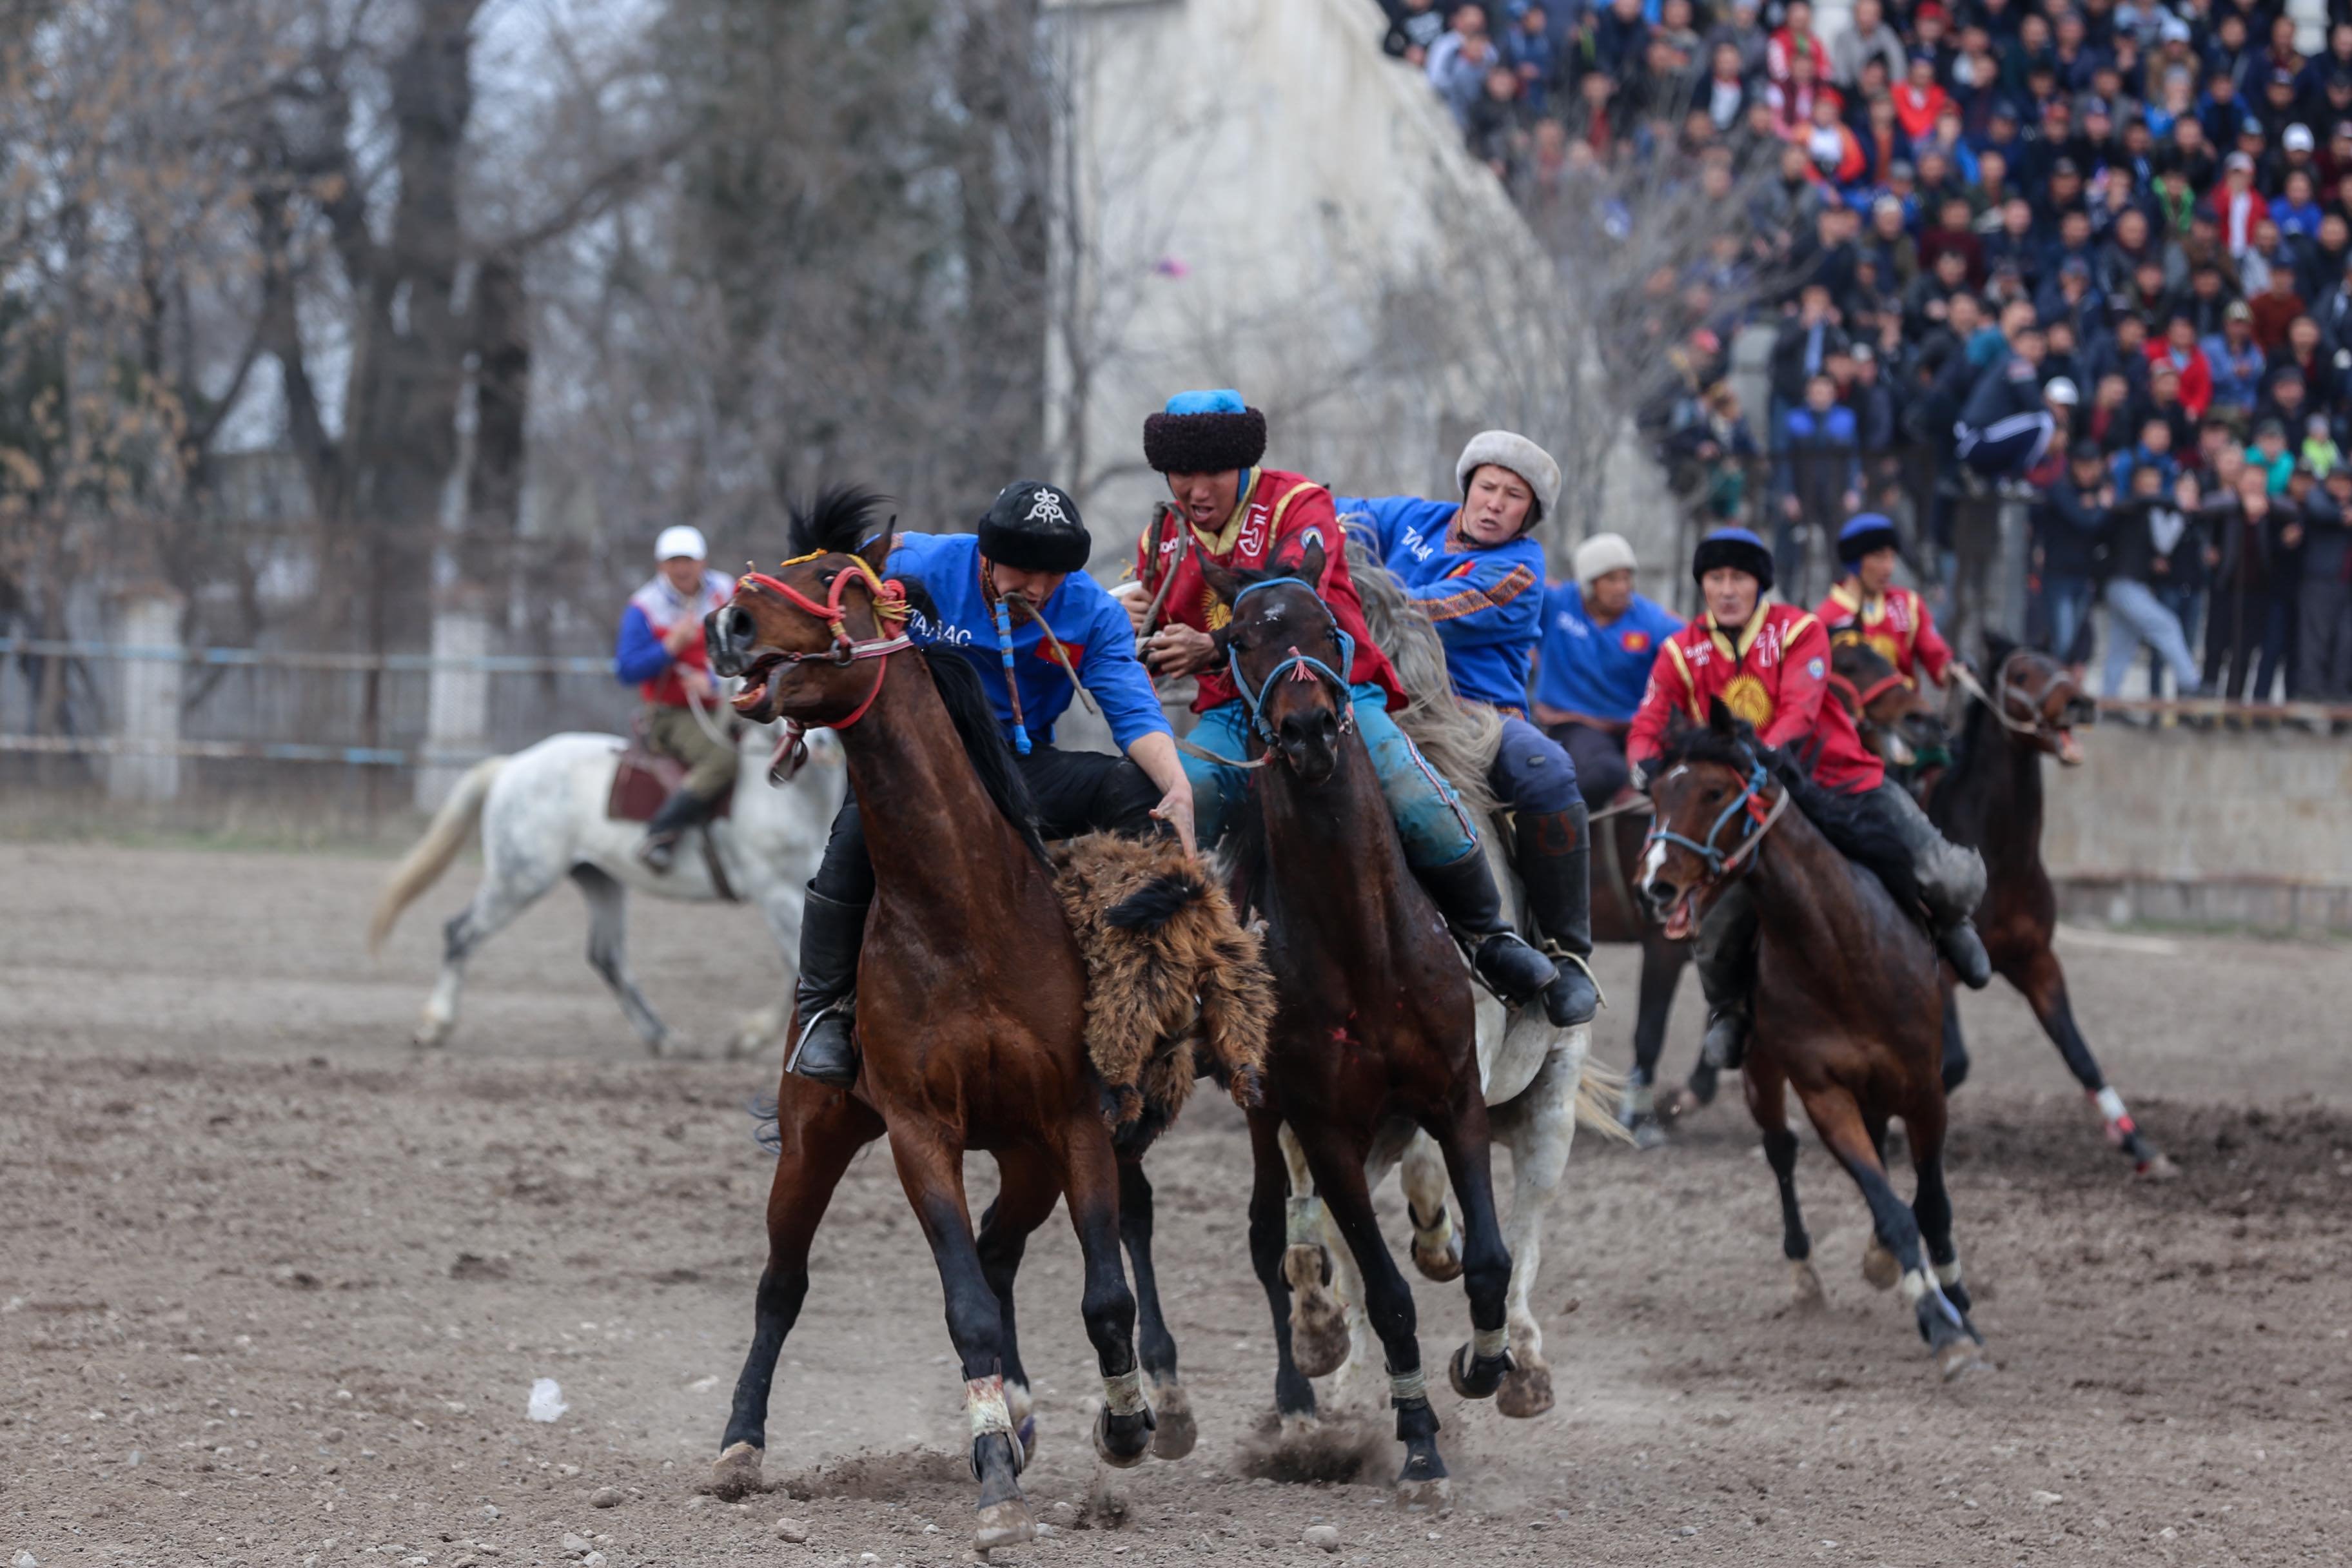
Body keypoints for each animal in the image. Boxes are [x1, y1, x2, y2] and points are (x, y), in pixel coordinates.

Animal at [367, 719, 847, 1063]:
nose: (822, 745)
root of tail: (513, 767)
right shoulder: (776, 893)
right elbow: (797, 969)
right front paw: (750, 1038)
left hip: (600, 881)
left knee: (606, 956)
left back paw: (664, 1039)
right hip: (520, 879)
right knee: (460, 932)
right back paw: (436, 1024)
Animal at [691, 496, 1162, 1551]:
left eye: (840, 585)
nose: (726, 622)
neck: (966, 912)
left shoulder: (1073, 1121)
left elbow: (1105, 1295)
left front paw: (1123, 1423)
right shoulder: (919, 1132)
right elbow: (966, 1311)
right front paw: (996, 1486)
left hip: (1026, 1154)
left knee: (1001, 1248)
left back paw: (1027, 1411)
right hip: (815, 1133)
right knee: (783, 1284)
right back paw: (740, 1445)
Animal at [1195, 552, 1524, 1494]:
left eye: (1328, 625)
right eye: (1239, 638)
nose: (1307, 728)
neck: (1361, 942)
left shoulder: (1456, 1095)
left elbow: (1488, 1259)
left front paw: (1482, 1363)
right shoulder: (1327, 1128)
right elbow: (1388, 1294)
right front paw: (1416, 1439)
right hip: (1267, 1114)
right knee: (1271, 1235)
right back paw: (1301, 1393)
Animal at [1646, 705, 1994, 1382]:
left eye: (1714, 791)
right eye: (1654, 794)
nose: (1657, 884)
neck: (1841, 948)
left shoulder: (1924, 1085)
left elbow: (1931, 1201)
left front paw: (1957, 1299)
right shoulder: (1822, 1090)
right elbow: (1890, 1207)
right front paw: (1942, 1328)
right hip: (1762, 1071)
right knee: (1781, 1150)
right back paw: (1807, 1273)